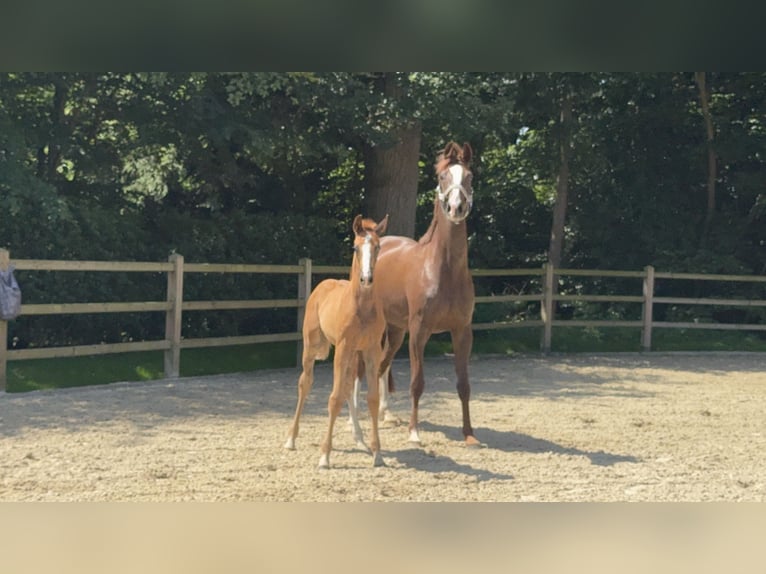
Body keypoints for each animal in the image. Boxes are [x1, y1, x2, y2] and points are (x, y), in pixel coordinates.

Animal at [284, 214, 389, 468]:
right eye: (355, 247)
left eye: (378, 246)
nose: (366, 279)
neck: (362, 309)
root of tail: (322, 285)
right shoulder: (342, 347)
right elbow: (334, 398)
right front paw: (324, 456)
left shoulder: (371, 350)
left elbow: (371, 398)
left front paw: (377, 454)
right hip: (312, 347)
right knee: (305, 383)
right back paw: (291, 439)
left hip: (352, 354)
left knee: (348, 386)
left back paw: (360, 438)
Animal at [352, 141, 479, 447]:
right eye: (443, 177)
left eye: (469, 177)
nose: (456, 207)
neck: (443, 270)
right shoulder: (419, 330)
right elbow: (416, 382)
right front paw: (414, 432)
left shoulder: (462, 330)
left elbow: (464, 384)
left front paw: (469, 434)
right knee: (361, 367)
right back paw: (355, 420)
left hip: (395, 330)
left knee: (382, 364)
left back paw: (384, 414)